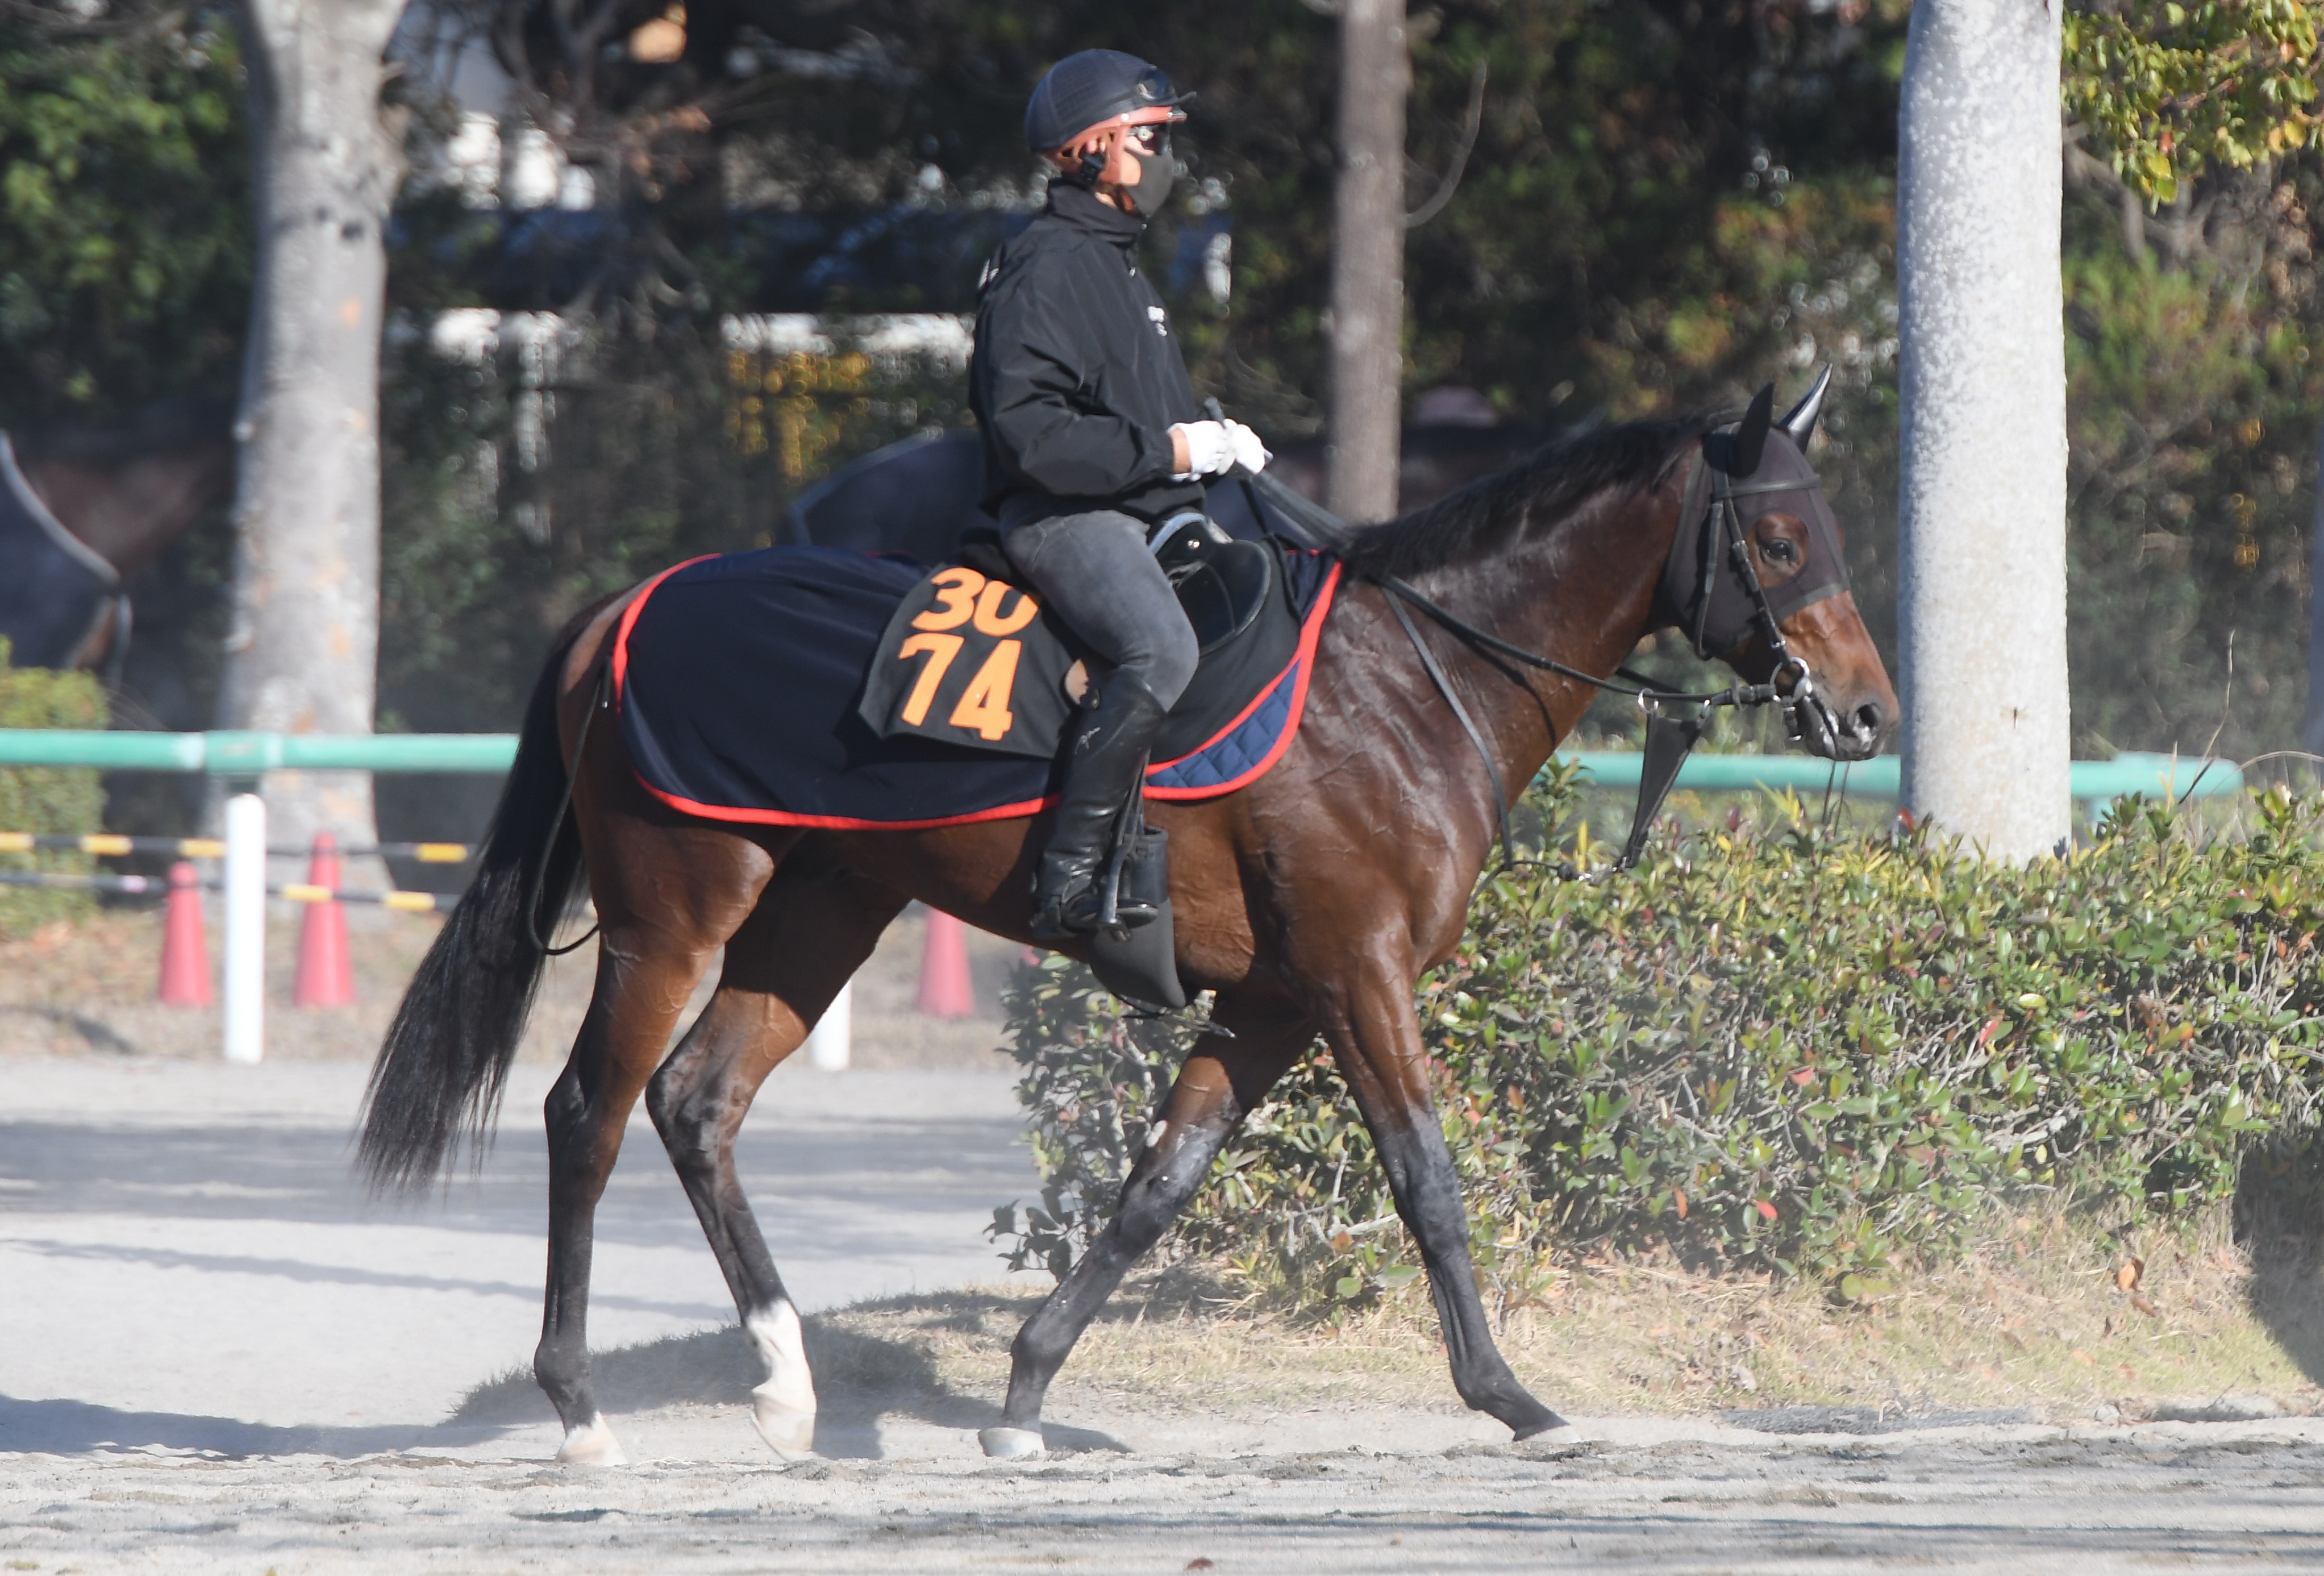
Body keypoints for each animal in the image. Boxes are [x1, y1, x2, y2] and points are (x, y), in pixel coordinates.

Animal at [357, 380, 1897, 1465]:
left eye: (1826, 531)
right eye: (1777, 539)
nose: (1868, 712)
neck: (1408, 679)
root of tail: (626, 605)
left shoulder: (1275, 999)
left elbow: (1159, 1186)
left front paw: (1024, 1390)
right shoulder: (1358, 973)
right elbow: (1426, 1181)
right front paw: (1509, 1394)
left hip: (826, 909)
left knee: (697, 1103)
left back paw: (789, 1386)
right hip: (671, 915)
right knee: (589, 1114)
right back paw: (576, 1407)